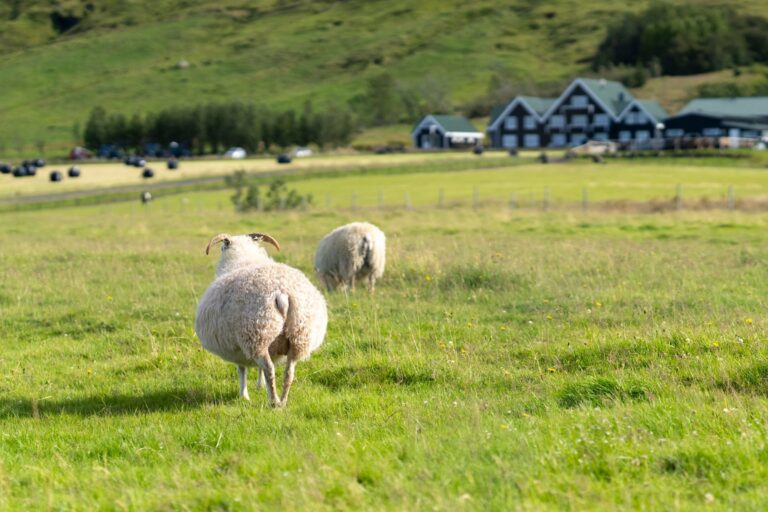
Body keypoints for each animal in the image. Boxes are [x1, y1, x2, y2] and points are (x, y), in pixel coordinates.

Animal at [195, 232, 328, 407]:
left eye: (223, 247)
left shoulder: (238, 346)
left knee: (269, 368)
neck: (242, 259)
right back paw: (283, 401)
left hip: (256, 334)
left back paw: (274, 401)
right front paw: (259, 386)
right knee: (289, 372)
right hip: (298, 336)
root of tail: (282, 293)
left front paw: (244, 395)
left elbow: (242, 369)